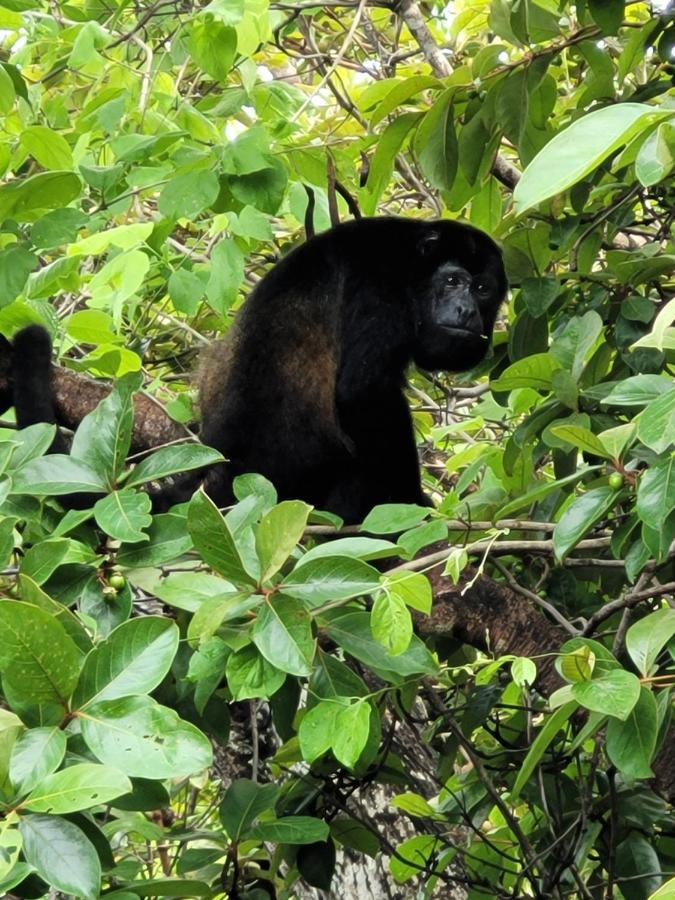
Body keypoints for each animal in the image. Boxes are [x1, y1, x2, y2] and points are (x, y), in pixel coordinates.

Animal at [1, 218, 508, 524]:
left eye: (483, 289)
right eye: (452, 281)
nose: (468, 311)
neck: (411, 263)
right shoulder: (381, 291)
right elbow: (362, 393)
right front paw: (411, 503)